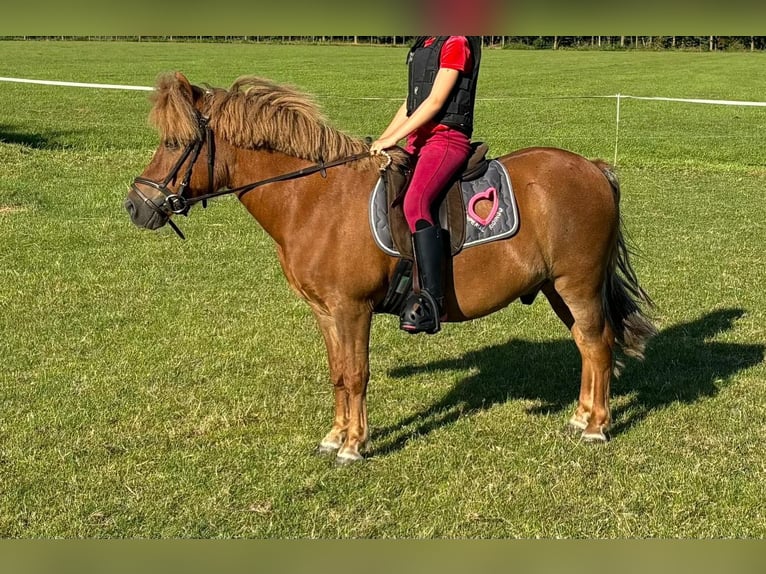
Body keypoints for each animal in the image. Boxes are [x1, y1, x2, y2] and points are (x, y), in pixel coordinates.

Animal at [124, 73, 656, 468]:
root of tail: (592, 167)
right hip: (556, 289)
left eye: (176, 142)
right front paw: (335, 436)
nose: (136, 205)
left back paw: (596, 428)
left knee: (598, 345)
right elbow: (339, 374)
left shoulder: (352, 309)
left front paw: (354, 446)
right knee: (586, 345)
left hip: (578, 285)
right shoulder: (326, 312)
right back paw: (580, 417)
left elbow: (357, 374)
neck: (314, 200)